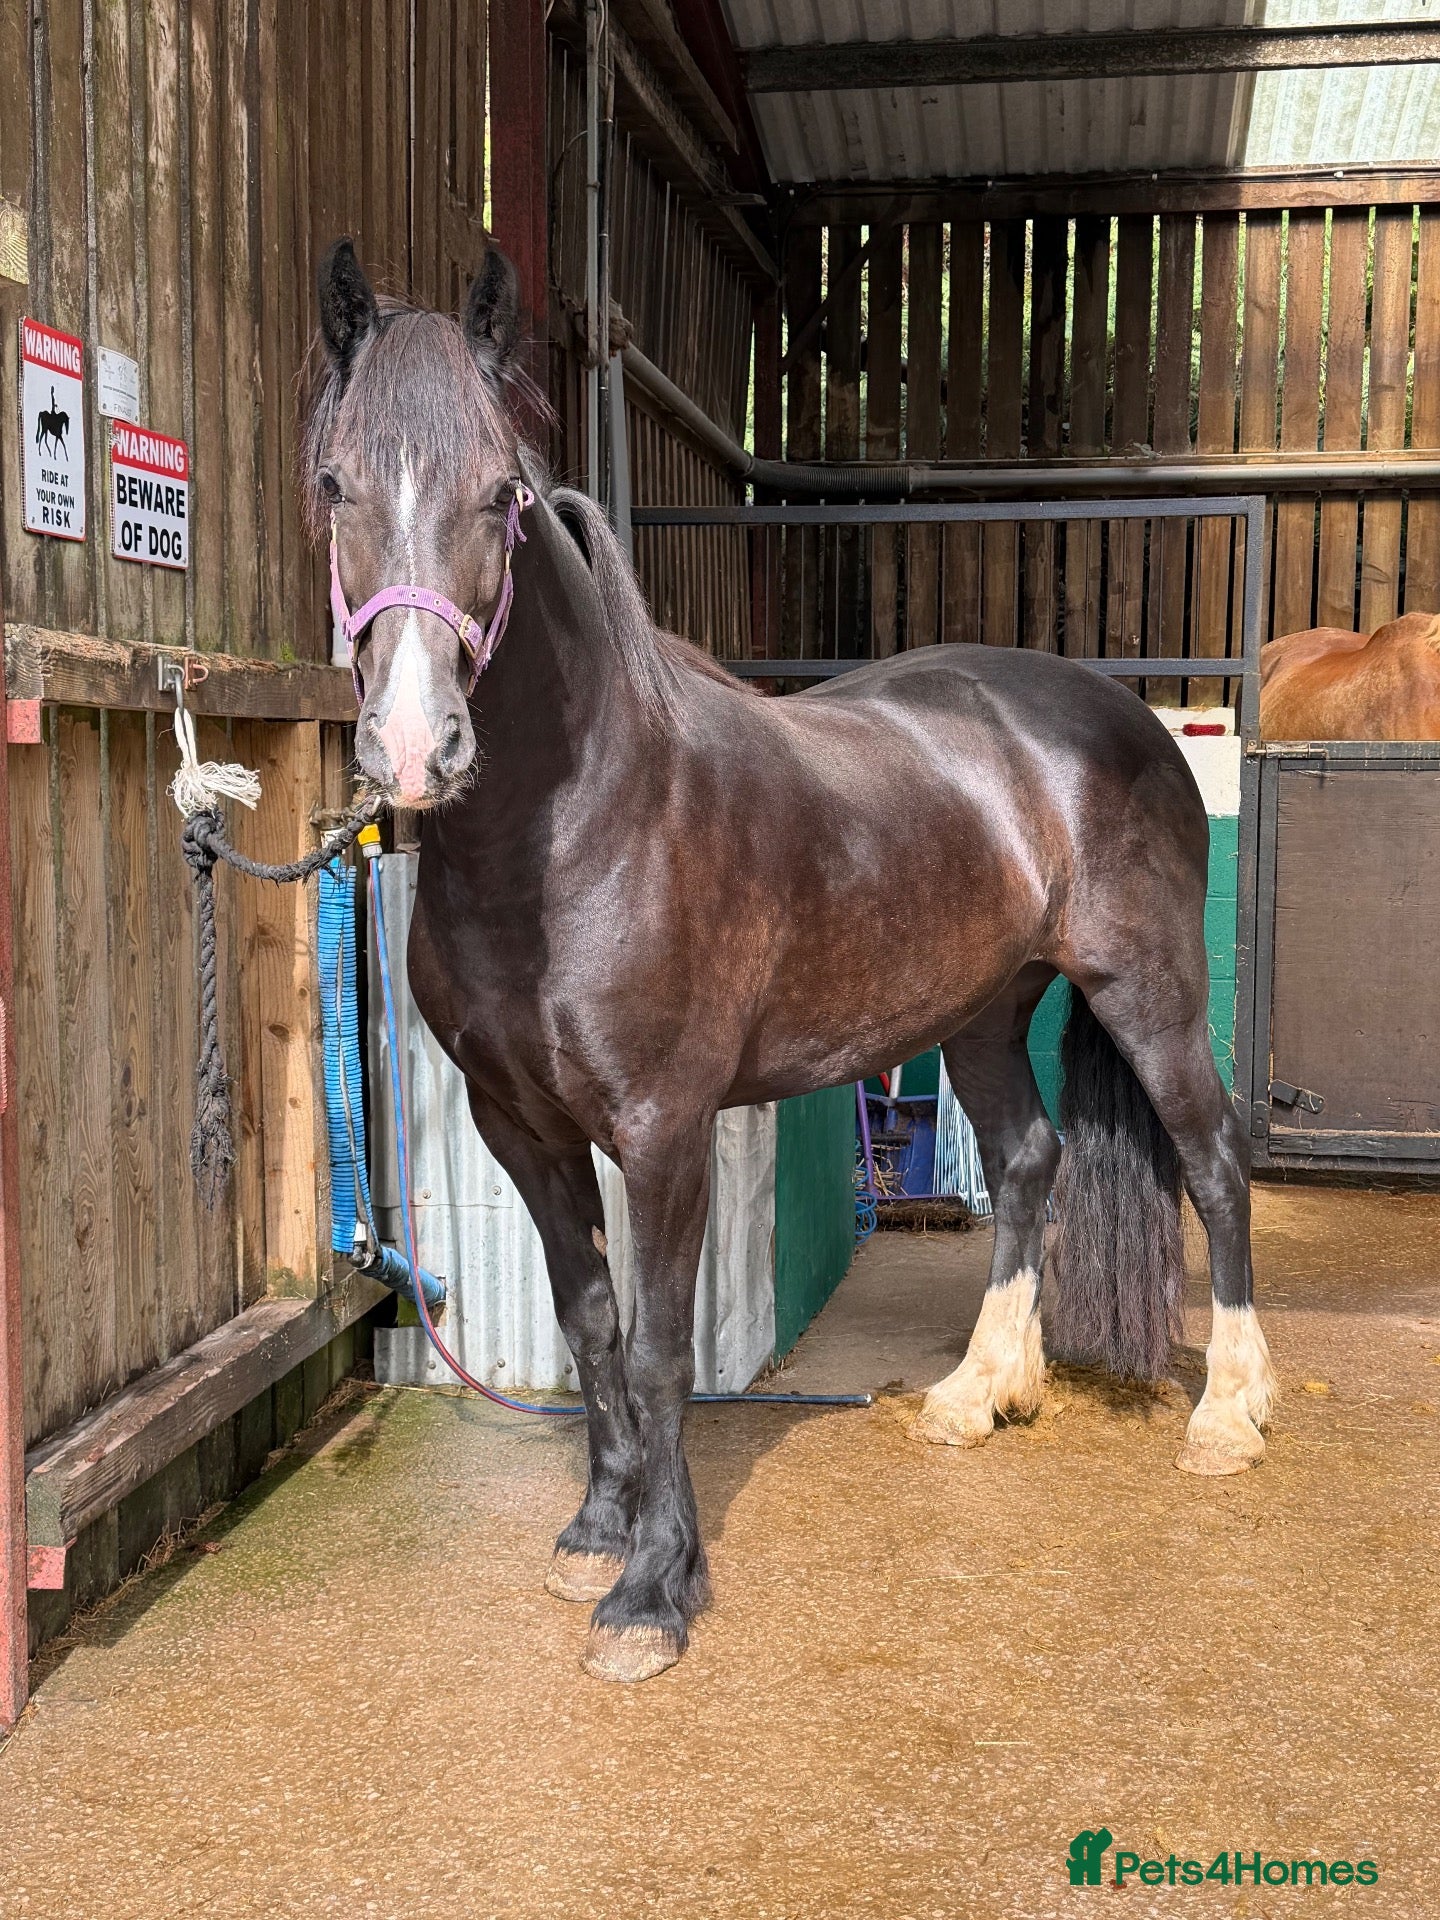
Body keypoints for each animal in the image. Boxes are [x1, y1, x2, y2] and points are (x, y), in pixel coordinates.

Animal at [305, 238, 1275, 1684]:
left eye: (506, 496)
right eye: (333, 481)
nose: (418, 746)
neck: (580, 827)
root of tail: (1124, 716)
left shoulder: (663, 1129)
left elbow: (660, 1350)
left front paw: (653, 1592)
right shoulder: (515, 1123)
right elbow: (587, 1322)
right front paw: (597, 1529)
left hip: (1148, 995)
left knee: (1212, 1162)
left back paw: (1230, 1416)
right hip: (980, 1012)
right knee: (1030, 1160)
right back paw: (975, 1395)